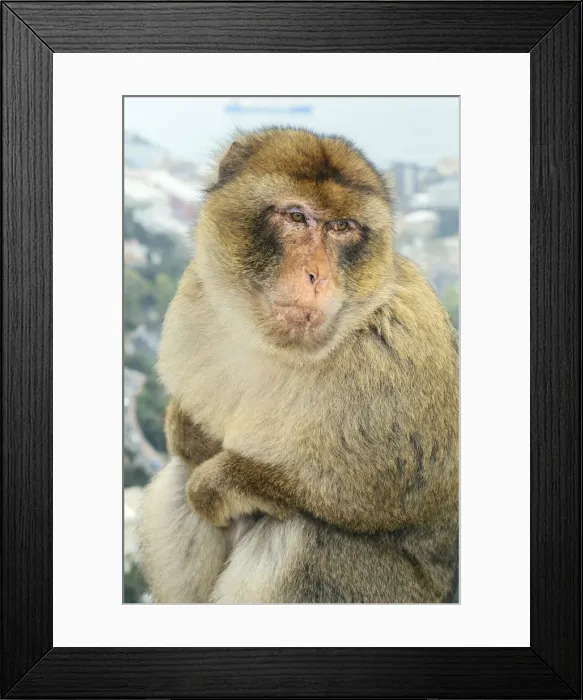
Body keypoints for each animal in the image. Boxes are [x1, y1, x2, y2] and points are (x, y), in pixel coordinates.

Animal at [139, 127, 459, 603]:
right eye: (296, 216)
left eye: (342, 227)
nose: (317, 275)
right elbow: (189, 440)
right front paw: (186, 429)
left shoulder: (403, 351)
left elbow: (387, 493)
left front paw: (221, 484)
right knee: (179, 480)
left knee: (304, 534)